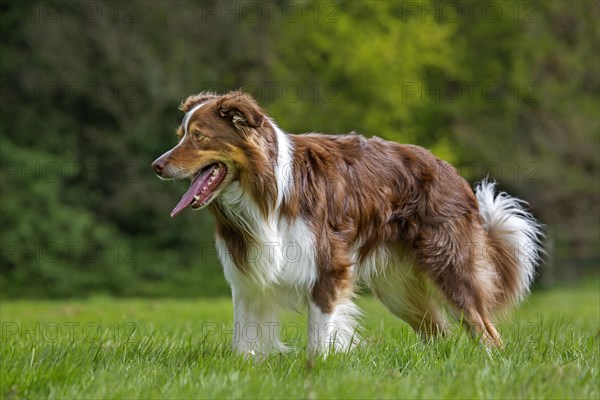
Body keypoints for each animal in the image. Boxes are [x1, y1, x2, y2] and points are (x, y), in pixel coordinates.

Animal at [151, 91, 544, 356]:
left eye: (199, 136)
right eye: (180, 136)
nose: (156, 165)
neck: (263, 191)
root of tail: (453, 172)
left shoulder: (329, 265)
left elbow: (318, 333)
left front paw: (317, 367)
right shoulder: (248, 273)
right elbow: (244, 336)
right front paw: (247, 365)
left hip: (449, 269)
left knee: (487, 332)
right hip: (397, 288)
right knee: (439, 332)